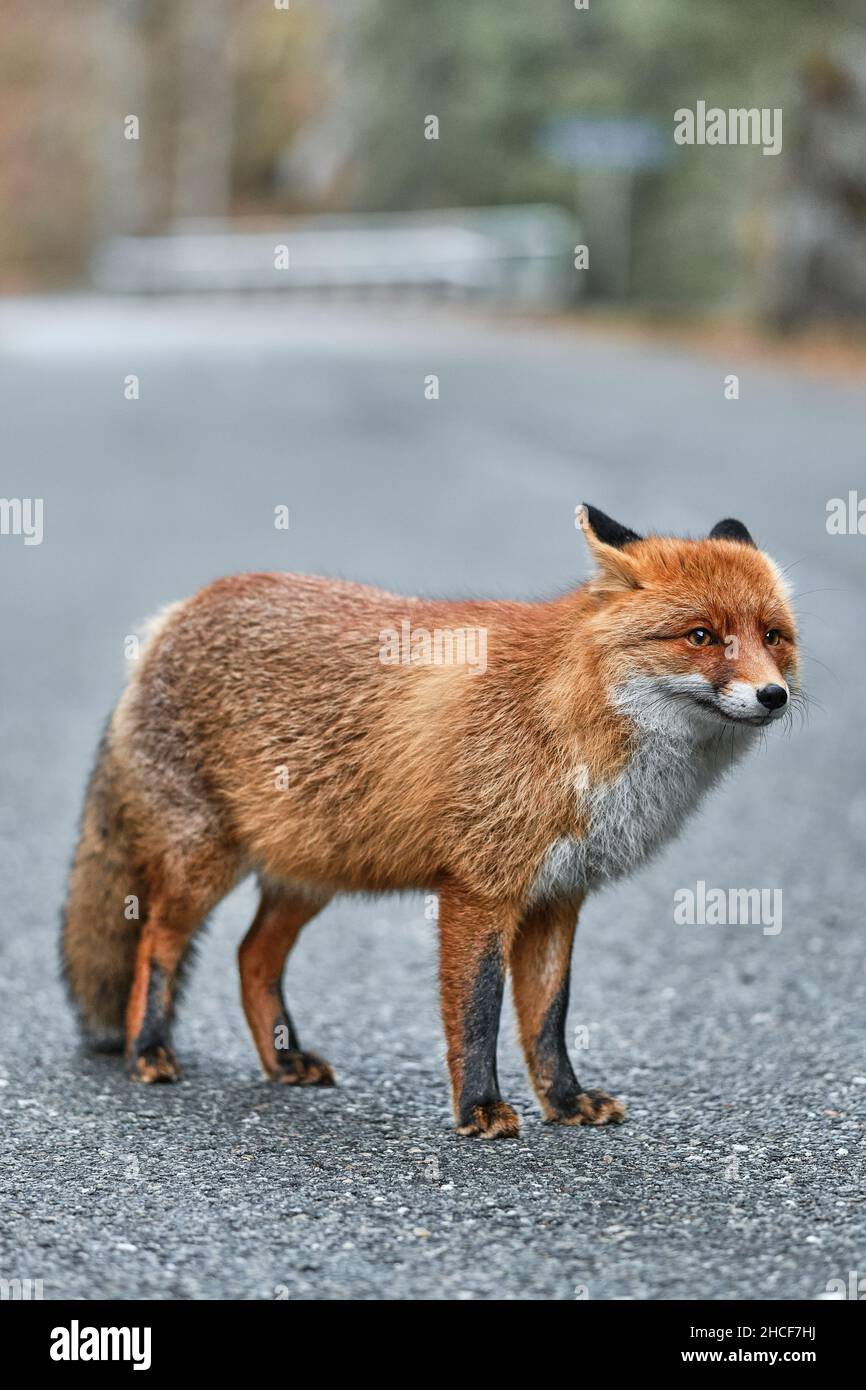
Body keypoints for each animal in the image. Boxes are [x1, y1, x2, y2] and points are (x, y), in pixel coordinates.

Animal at [62, 511, 800, 1139]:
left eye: (773, 636)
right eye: (701, 636)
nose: (774, 696)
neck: (573, 723)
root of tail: (176, 614)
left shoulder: (559, 897)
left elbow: (548, 1020)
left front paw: (565, 1103)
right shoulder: (479, 890)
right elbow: (477, 1012)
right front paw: (480, 1110)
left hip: (311, 874)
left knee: (251, 957)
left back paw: (283, 1062)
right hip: (204, 864)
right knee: (158, 944)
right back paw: (149, 1049)